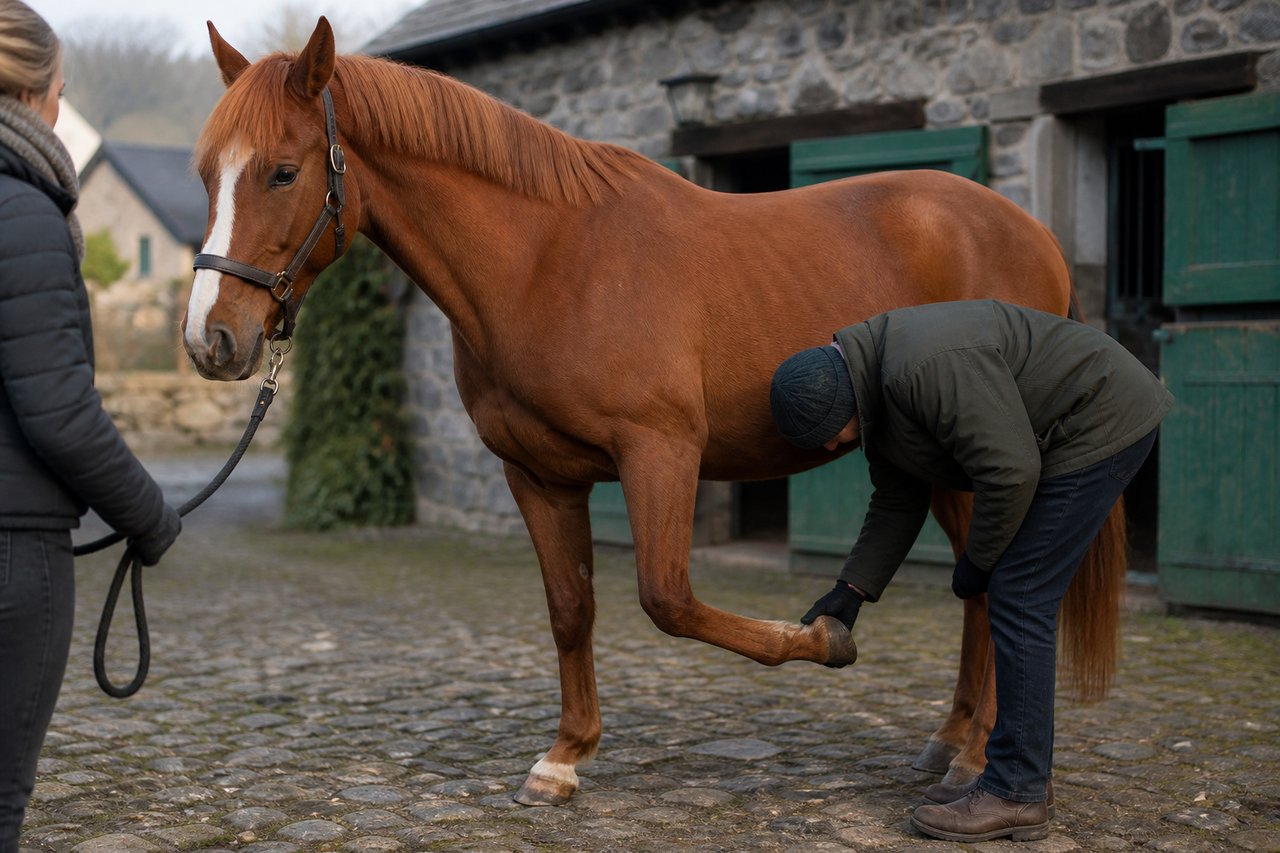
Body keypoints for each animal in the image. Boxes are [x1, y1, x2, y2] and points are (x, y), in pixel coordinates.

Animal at [182, 17, 1127, 807]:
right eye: (204, 175)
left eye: (283, 171)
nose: (210, 339)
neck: (548, 261)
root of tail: (1032, 235)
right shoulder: (537, 475)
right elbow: (572, 609)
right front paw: (564, 756)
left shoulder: (661, 453)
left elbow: (668, 599)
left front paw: (824, 637)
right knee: (978, 583)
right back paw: (951, 740)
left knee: (990, 581)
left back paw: (972, 758)